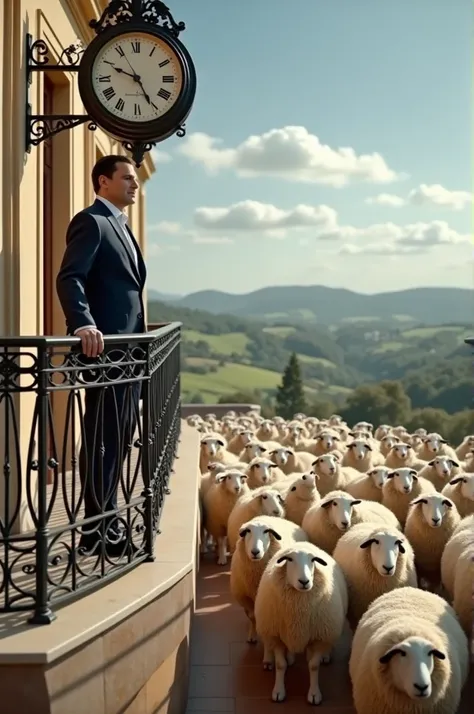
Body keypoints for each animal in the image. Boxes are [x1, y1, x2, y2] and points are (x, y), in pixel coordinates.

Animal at [230, 516, 308, 644]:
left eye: (266, 531)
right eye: (247, 531)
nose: (255, 552)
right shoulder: (245, 598)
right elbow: (252, 616)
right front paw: (252, 635)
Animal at [256, 544, 348, 704]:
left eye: (313, 560)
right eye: (290, 559)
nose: (304, 581)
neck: (298, 613)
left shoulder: (319, 637)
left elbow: (314, 666)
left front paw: (314, 694)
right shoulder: (276, 635)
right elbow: (280, 665)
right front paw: (279, 691)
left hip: (329, 629)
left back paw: (324, 655)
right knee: (269, 643)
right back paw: (273, 659)